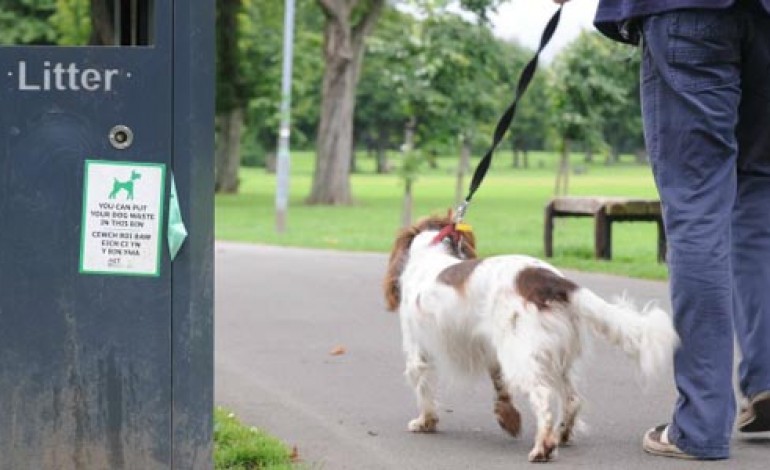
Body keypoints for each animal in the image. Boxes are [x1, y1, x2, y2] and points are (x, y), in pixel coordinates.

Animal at [380, 214, 676, 462]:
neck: (431, 255)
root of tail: (549, 280)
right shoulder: (492, 351)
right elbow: (500, 386)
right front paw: (508, 419)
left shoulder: (417, 349)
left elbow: (424, 389)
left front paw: (425, 422)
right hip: (549, 356)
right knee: (572, 399)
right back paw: (561, 435)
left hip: (522, 356)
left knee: (543, 397)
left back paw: (543, 446)